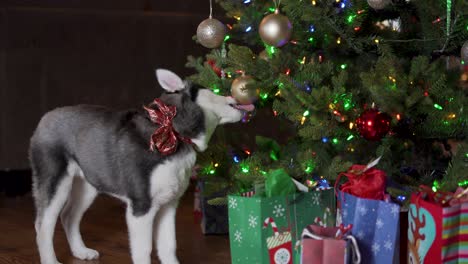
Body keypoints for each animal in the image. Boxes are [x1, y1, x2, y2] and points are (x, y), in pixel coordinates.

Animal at [29, 69, 254, 262]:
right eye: (212, 90)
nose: (236, 94)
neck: (174, 132)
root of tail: (45, 117)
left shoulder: (168, 205)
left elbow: (168, 246)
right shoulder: (141, 208)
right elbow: (144, 250)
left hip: (88, 186)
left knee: (68, 216)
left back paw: (81, 251)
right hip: (54, 182)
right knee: (42, 226)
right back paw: (51, 260)